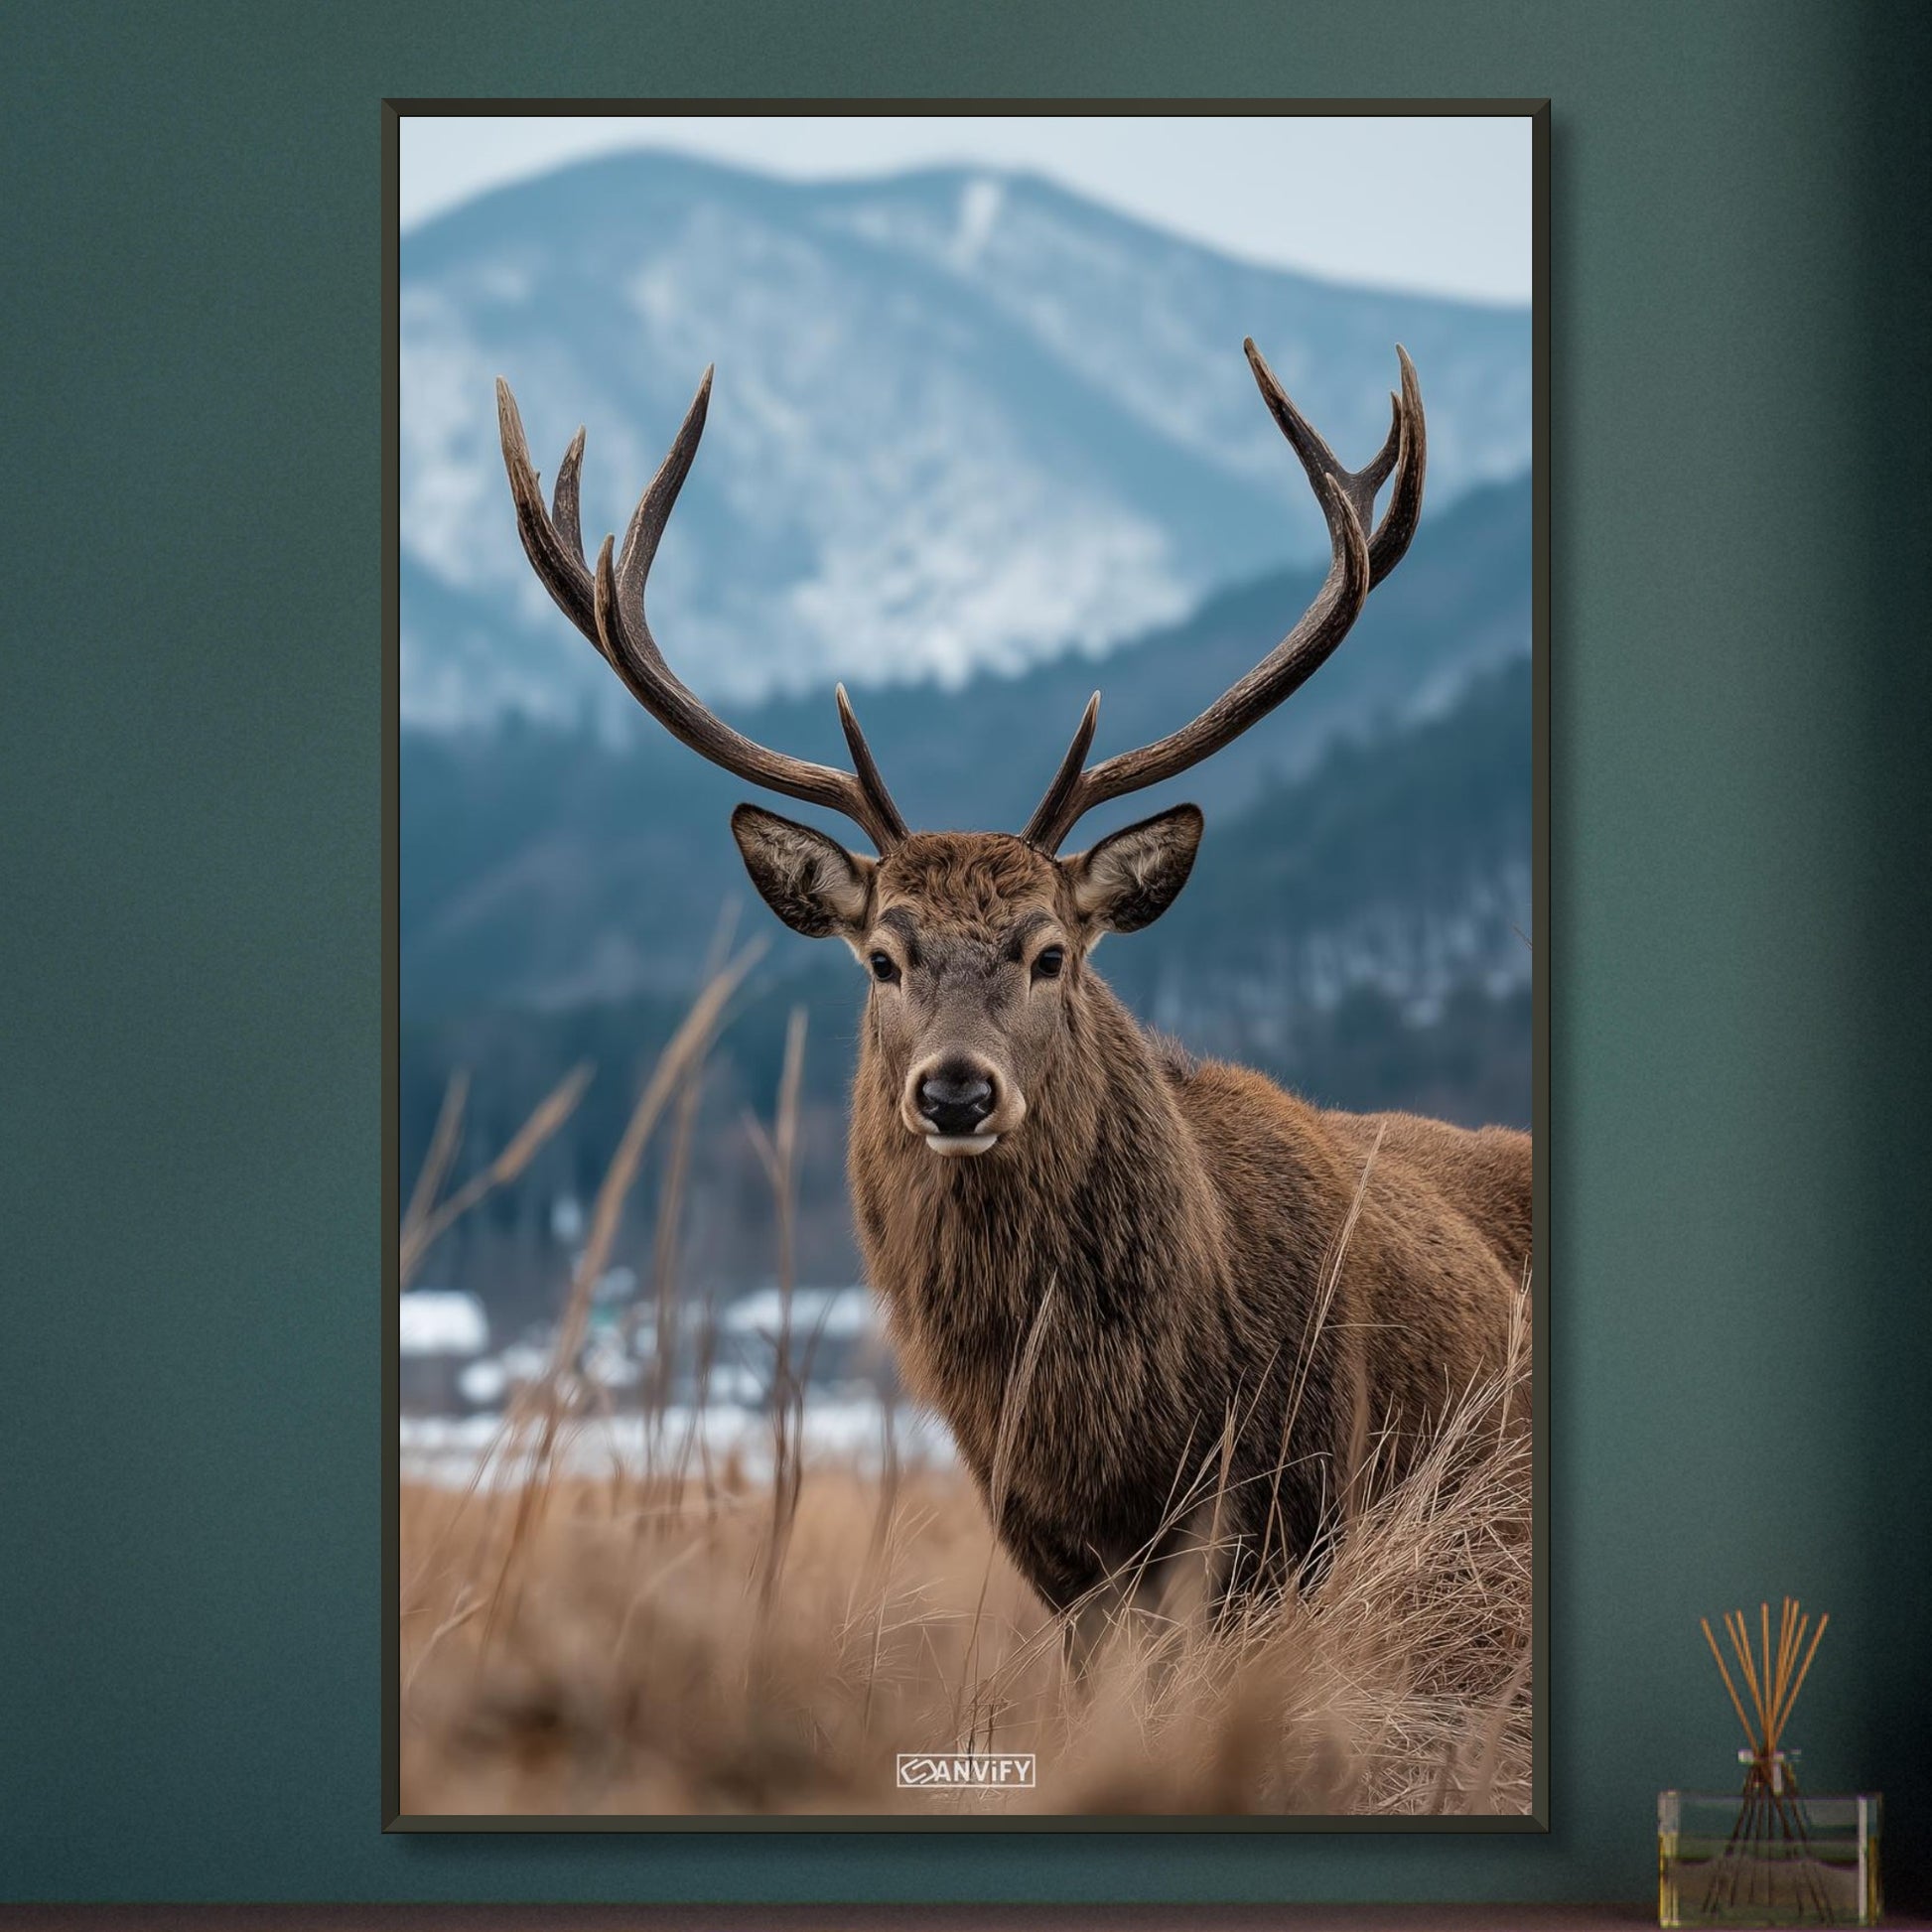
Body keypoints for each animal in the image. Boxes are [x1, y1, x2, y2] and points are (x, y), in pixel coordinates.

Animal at [494, 341, 1531, 1640]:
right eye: (882, 956)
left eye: (1050, 951)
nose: (953, 1090)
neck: (1117, 1433)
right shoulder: (1057, 1562)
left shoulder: (1293, 1518)